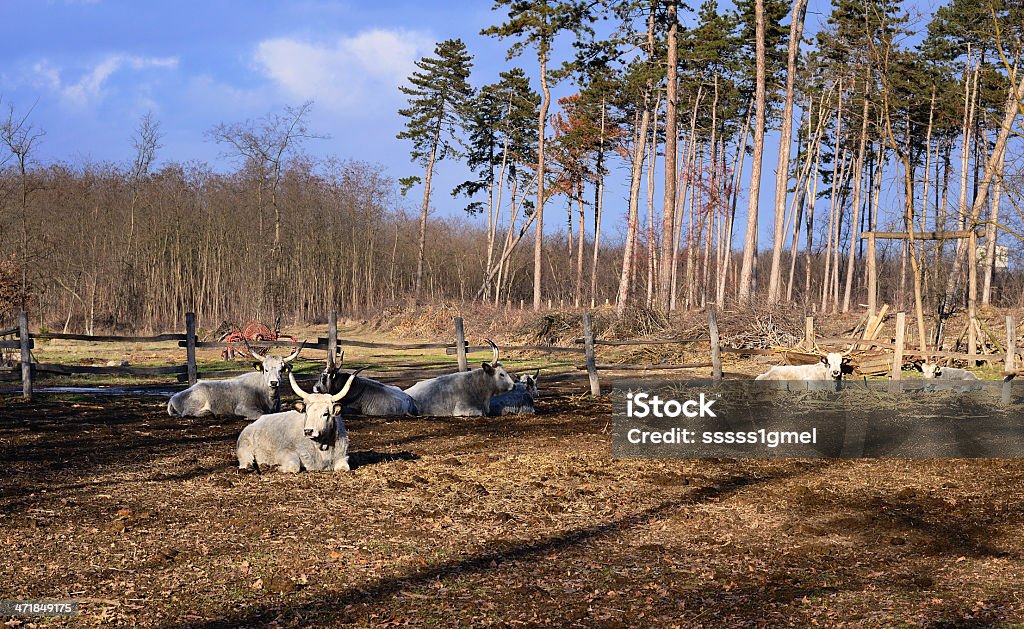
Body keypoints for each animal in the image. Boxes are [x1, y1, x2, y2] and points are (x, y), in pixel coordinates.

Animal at [166, 342, 303, 422]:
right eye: (266, 369)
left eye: (281, 370)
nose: (274, 382)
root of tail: (175, 396)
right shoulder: (243, 408)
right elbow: (261, 414)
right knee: (188, 413)